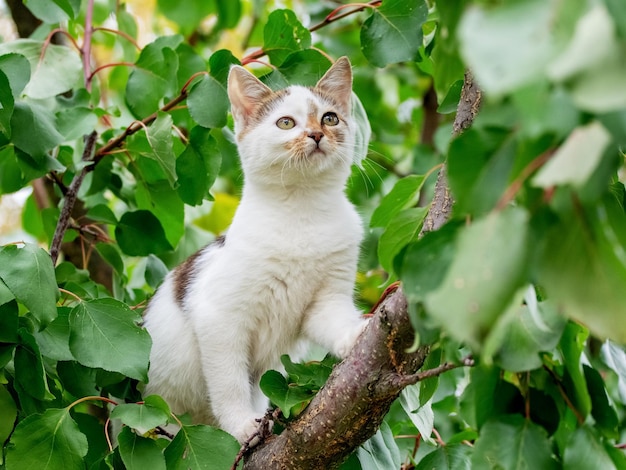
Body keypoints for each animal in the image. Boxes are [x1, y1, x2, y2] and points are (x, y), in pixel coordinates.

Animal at [143, 57, 366, 442]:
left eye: (330, 118)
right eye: (286, 122)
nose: (316, 134)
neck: (302, 211)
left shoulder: (326, 301)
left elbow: (335, 320)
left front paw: (355, 333)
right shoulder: (219, 317)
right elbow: (229, 383)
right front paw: (242, 424)